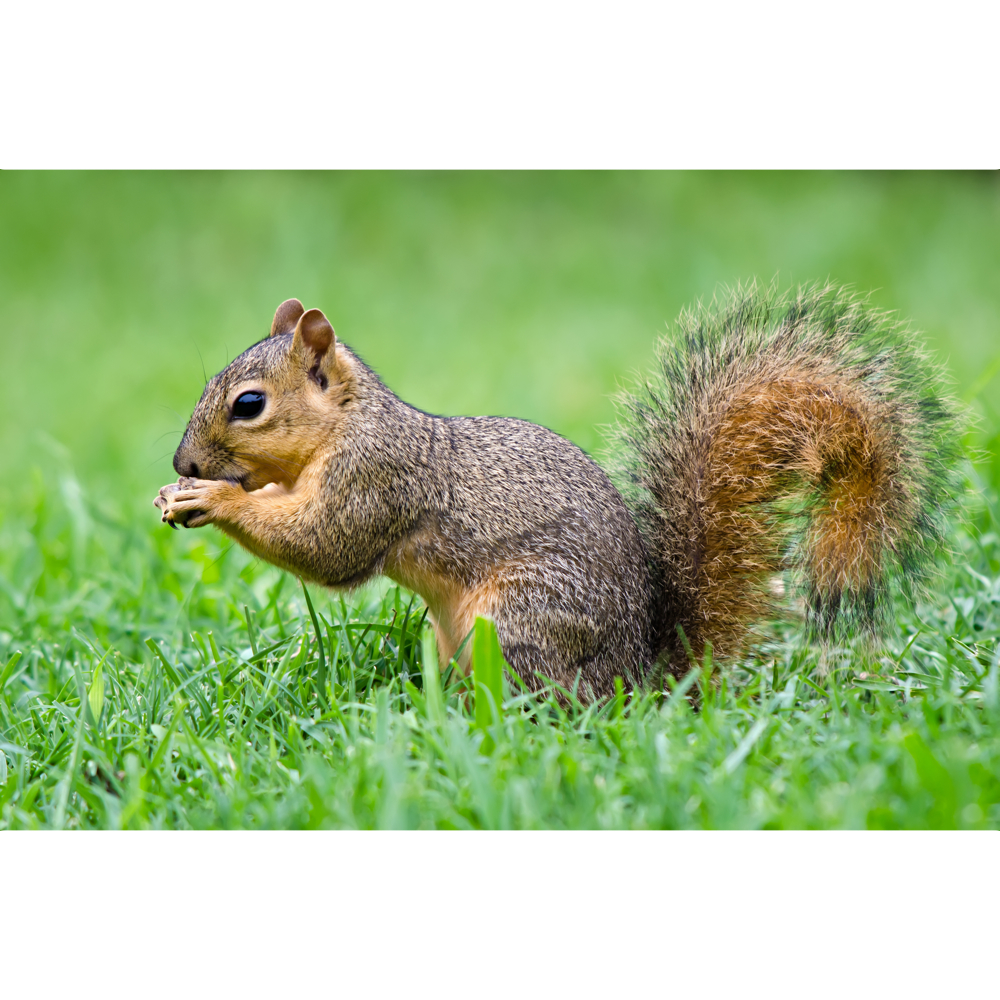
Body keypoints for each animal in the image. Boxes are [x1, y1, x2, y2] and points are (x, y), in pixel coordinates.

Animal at [154, 283, 961, 702]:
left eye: (248, 404)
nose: (184, 460)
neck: (348, 424)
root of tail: (639, 679)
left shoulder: (377, 479)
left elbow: (327, 546)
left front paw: (212, 499)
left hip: (521, 617)